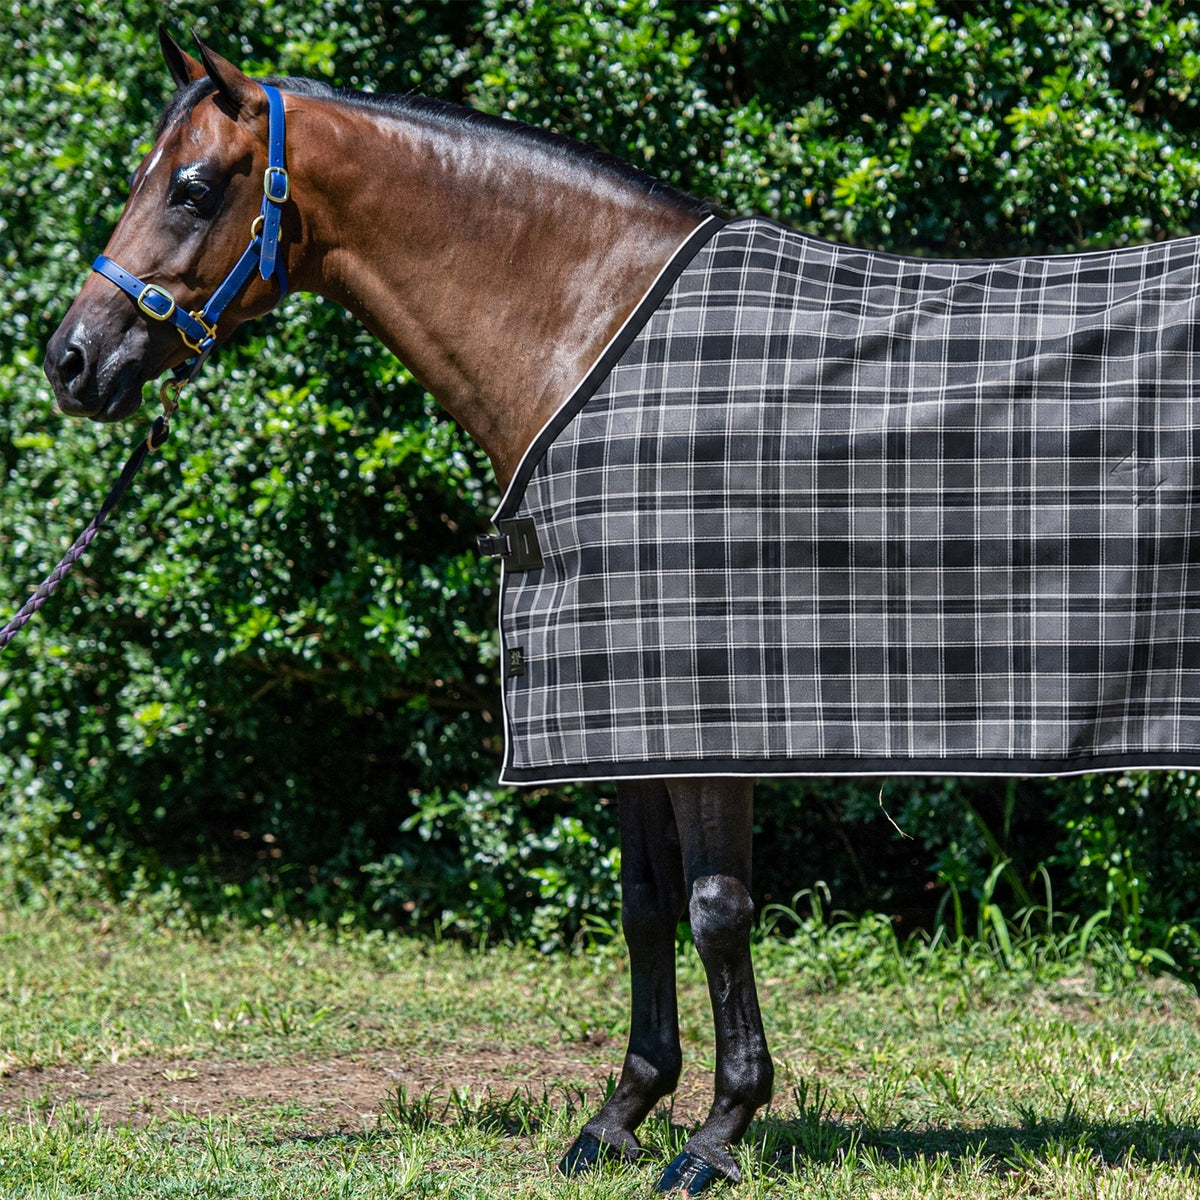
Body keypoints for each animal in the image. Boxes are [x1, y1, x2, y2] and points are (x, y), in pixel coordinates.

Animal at [44, 30, 770, 1195]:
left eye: (191, 188)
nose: (69, 360)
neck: (604, 350)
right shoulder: (616, 702)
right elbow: (646, 898)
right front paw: (621, 1116)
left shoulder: (708, 703)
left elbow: (717, 908)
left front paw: (715, 1135)